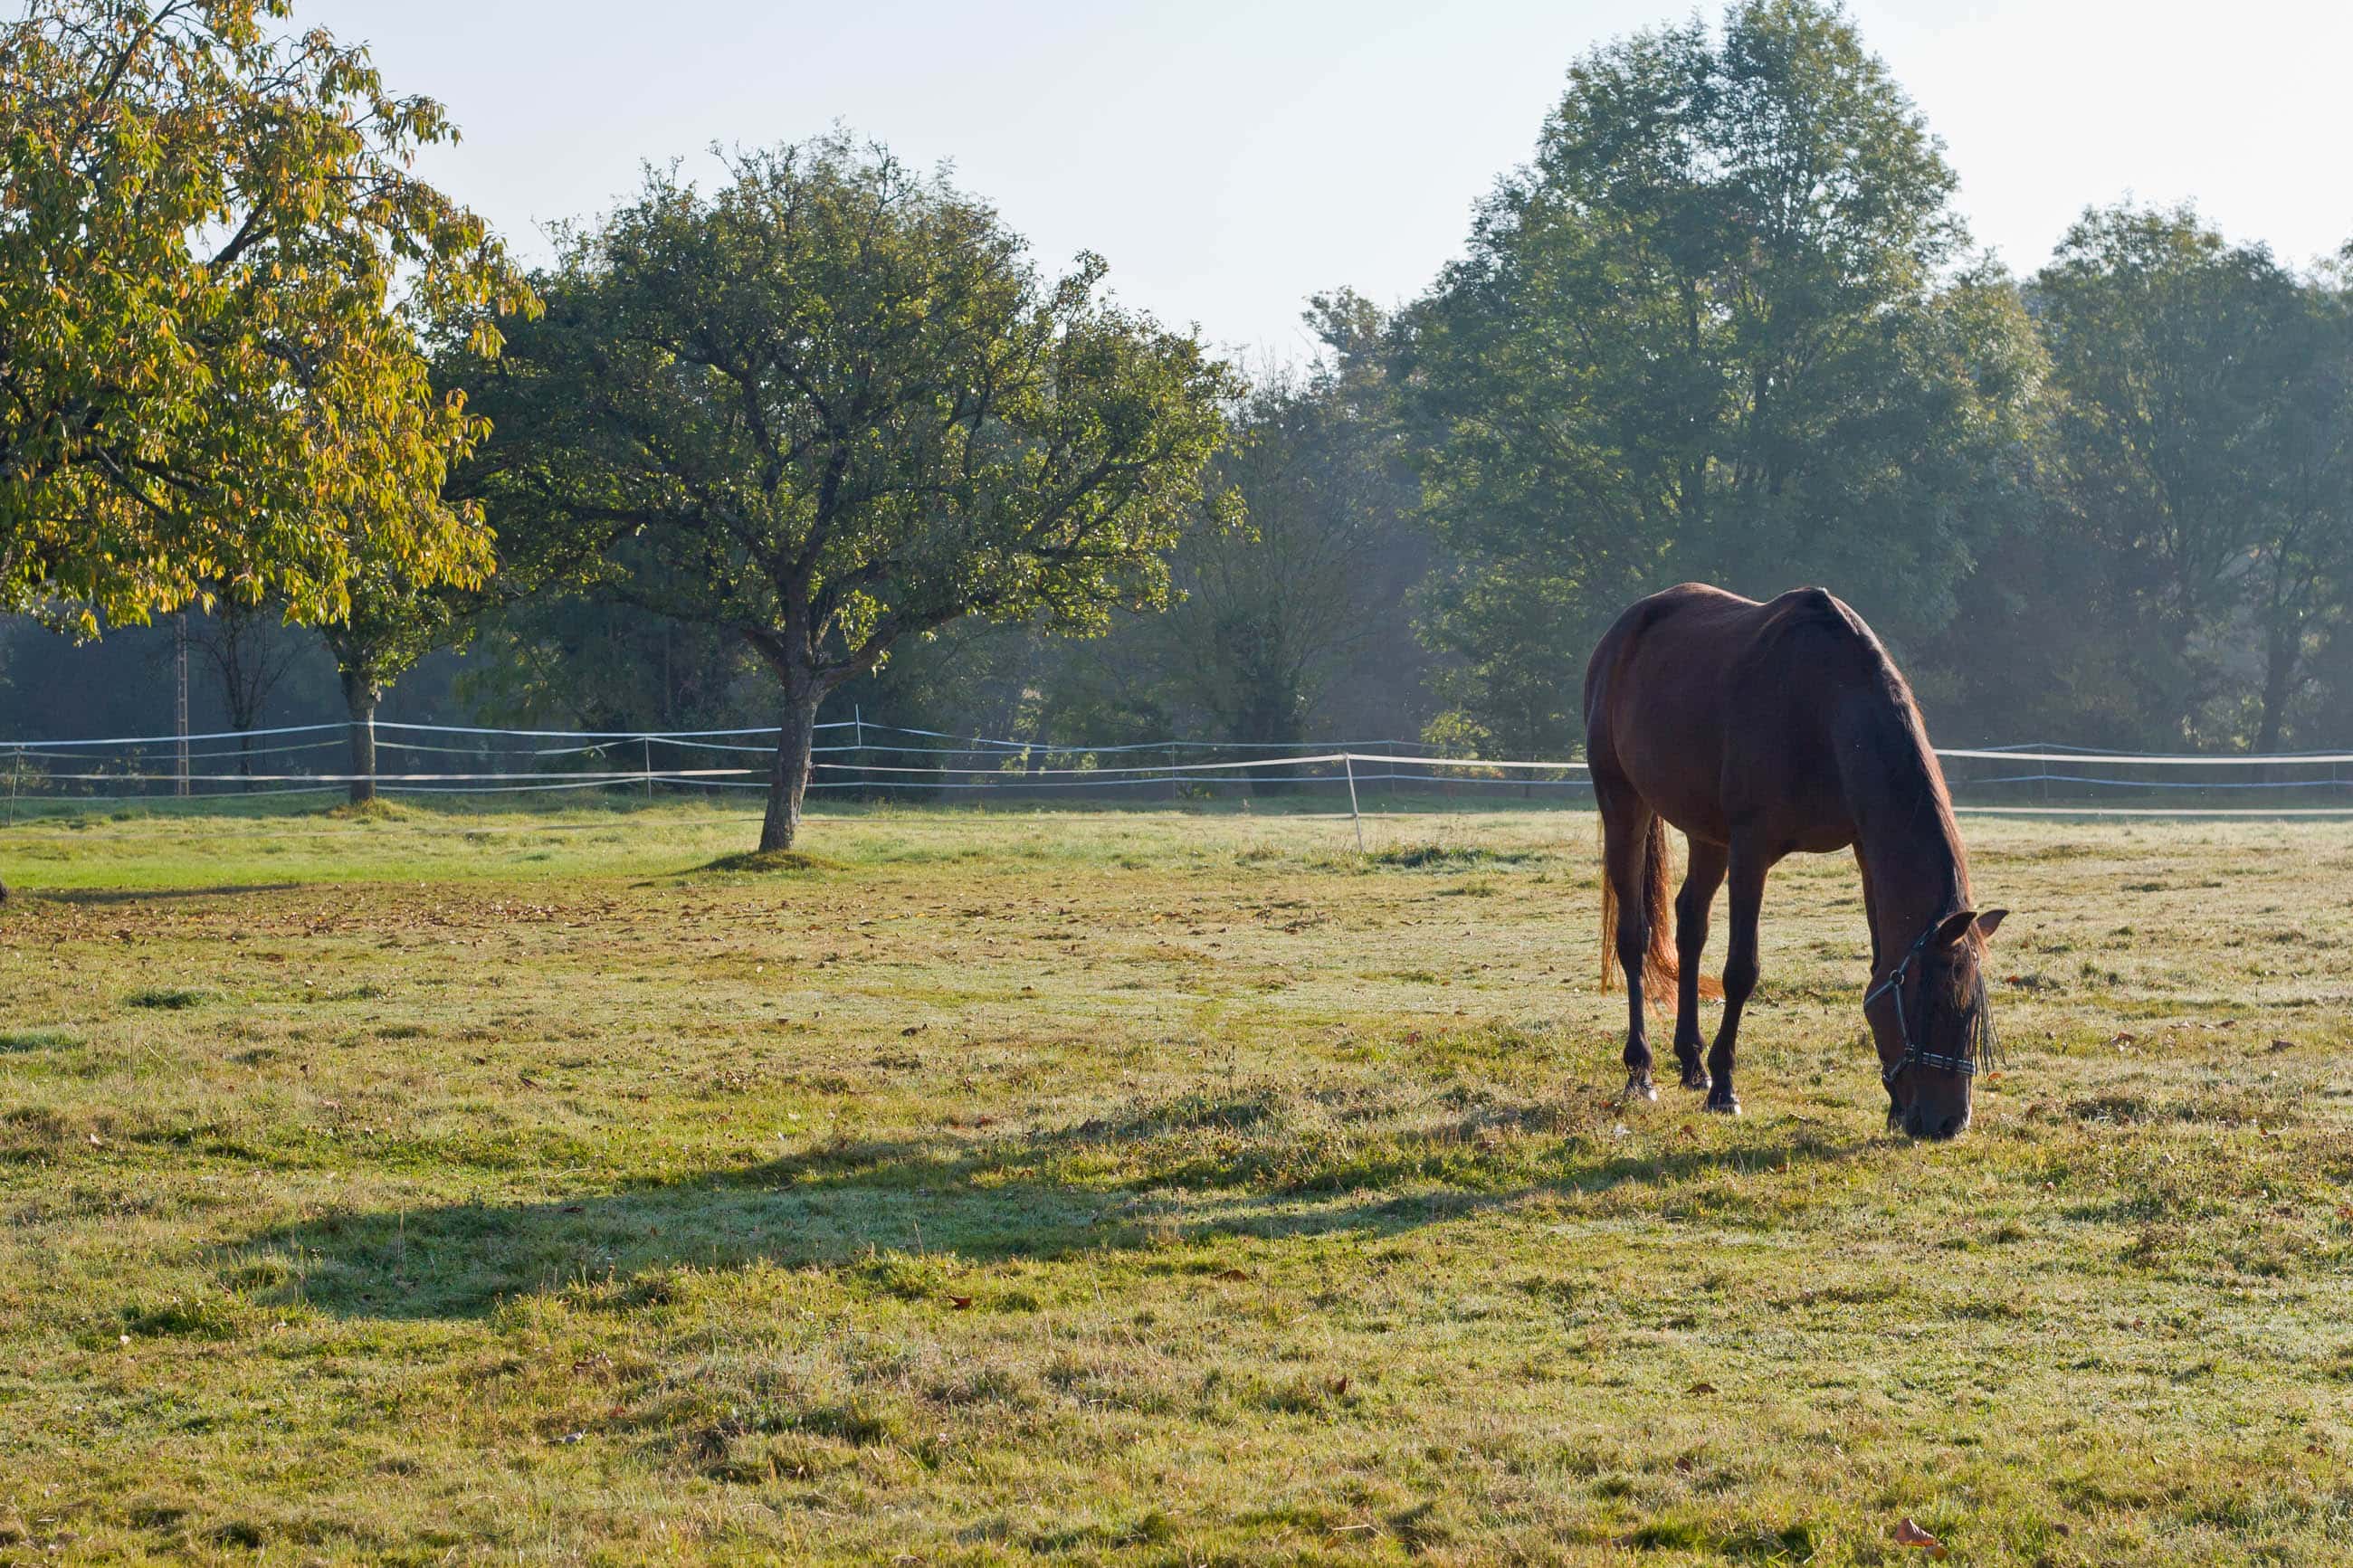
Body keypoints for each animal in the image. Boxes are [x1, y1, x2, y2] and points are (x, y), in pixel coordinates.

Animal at [1583, 584, 2007, 1139]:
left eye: (1973, 1013)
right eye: (1933, 1003)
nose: (1948, 1123)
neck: (1826, 710)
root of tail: (1621, 632)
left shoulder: (1864, 847)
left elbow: (1878, 961)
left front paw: (1893, 1104)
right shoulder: (1752, 848)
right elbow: (1742, 970)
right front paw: (1726, 1089)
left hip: (1706, 834)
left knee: (1690, 926)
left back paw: (1692, 1063)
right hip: (1623, 803)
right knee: (1634, 939)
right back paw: (1642, 1071)